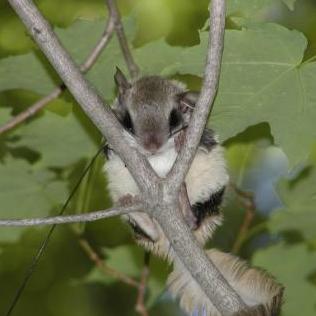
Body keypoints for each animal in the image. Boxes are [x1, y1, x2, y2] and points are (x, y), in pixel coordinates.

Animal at [103, 69, 284, 316]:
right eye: (129, 121)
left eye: (172, 118)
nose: (152, 146)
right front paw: (114, 147)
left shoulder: (204, 136)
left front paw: (180, 138)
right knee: (152, 233)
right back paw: (140, 213)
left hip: (209, 197)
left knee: (193, 221)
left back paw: (183, 200)